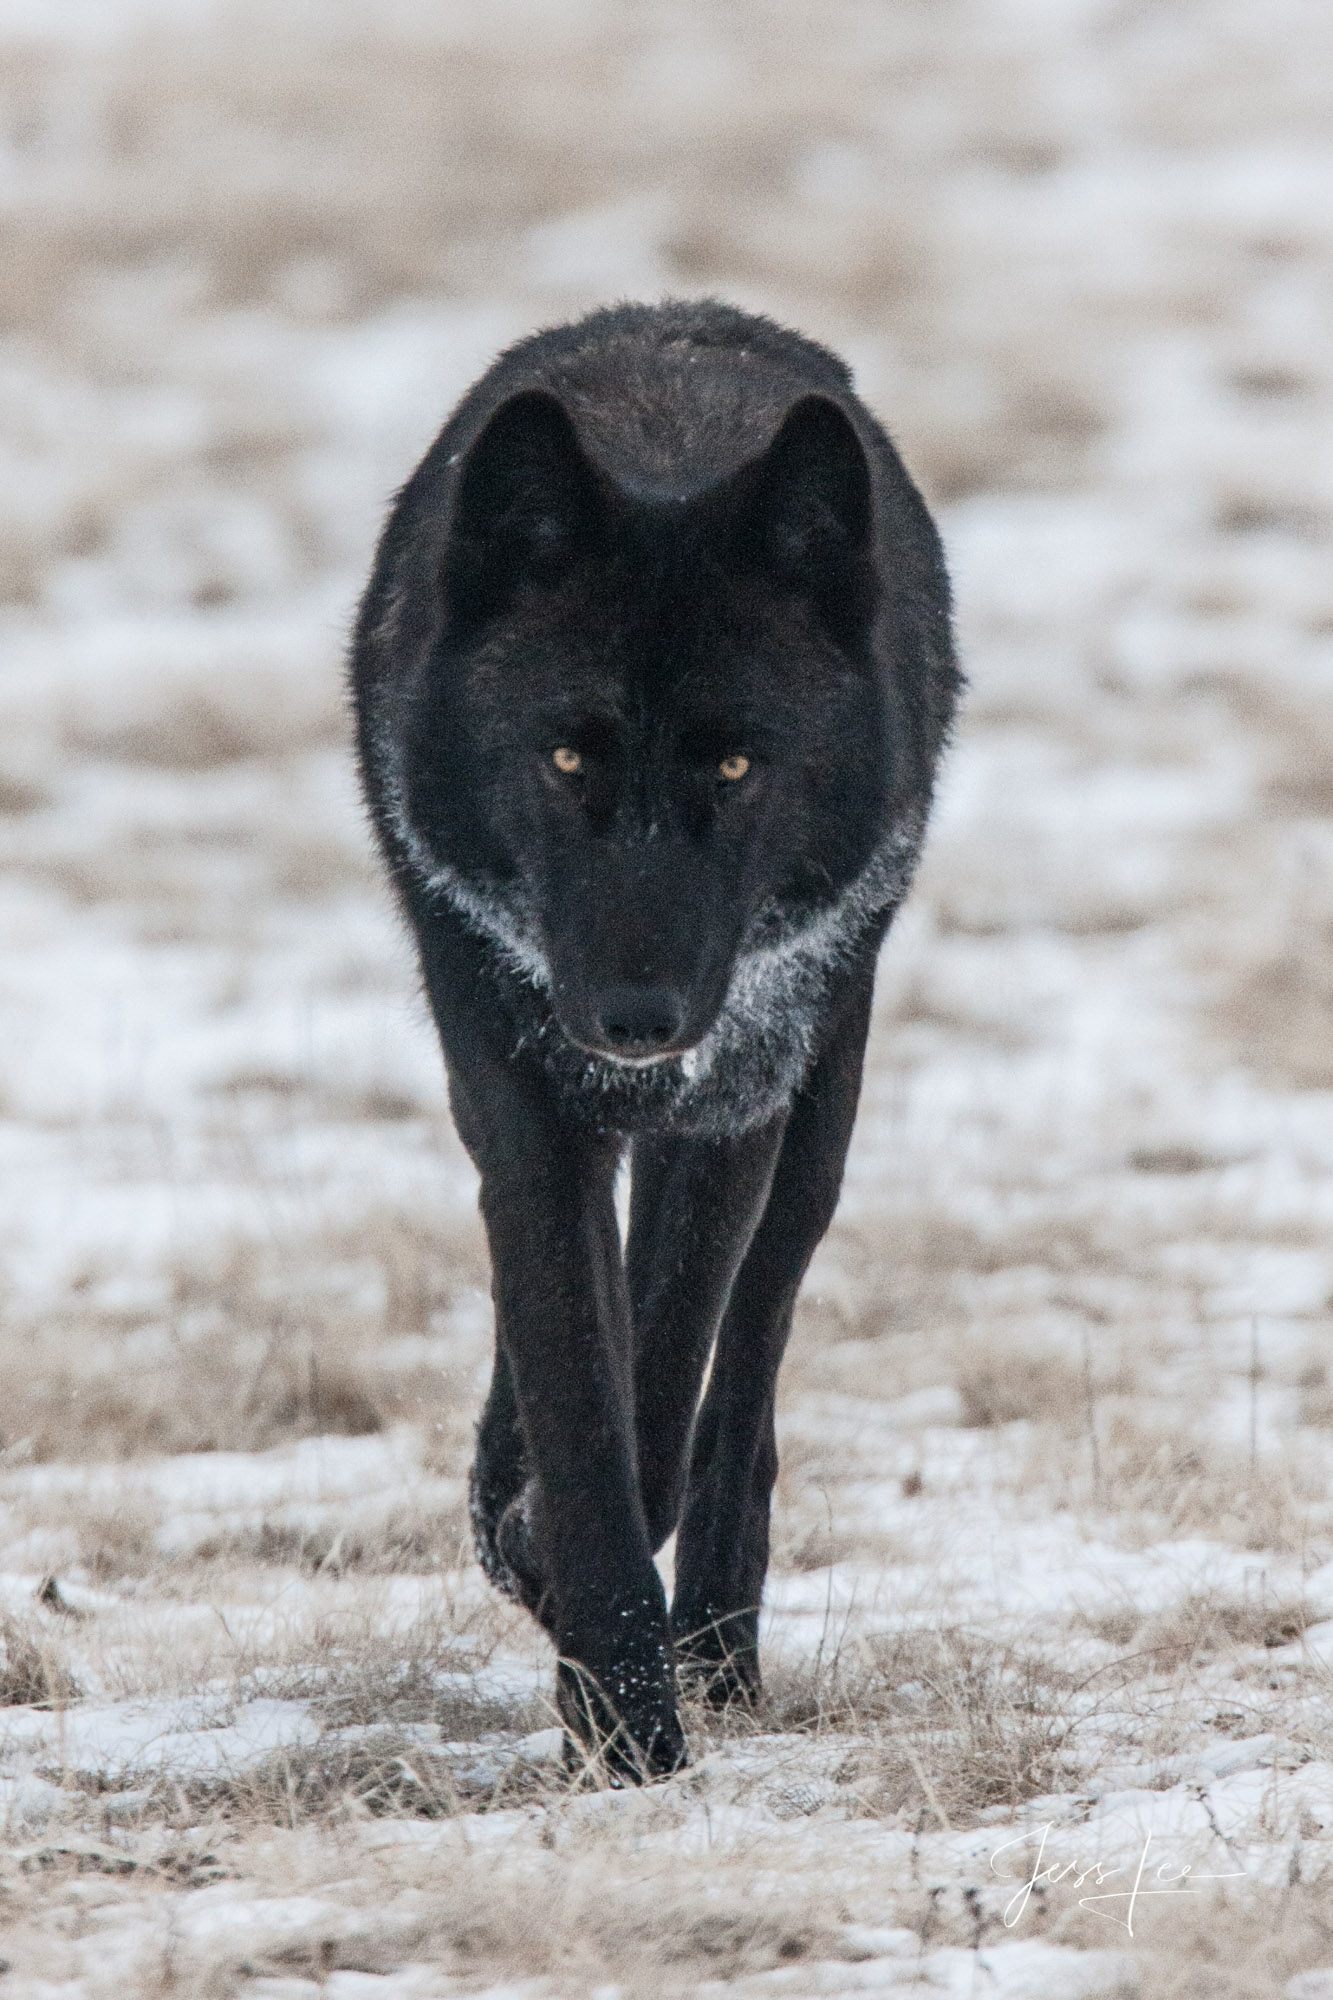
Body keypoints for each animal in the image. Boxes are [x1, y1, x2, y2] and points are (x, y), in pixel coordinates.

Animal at [350, 292, 956, 1768]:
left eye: (735, 764)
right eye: (567, 756)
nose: (635, 1019)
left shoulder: (729, 1106)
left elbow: (666, 1388)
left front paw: (625, 1697)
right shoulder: (521, 1108)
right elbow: (578, 1379)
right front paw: (618, 1716)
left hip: (813, 1137)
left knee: (745, 1387)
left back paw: (721, 1653)